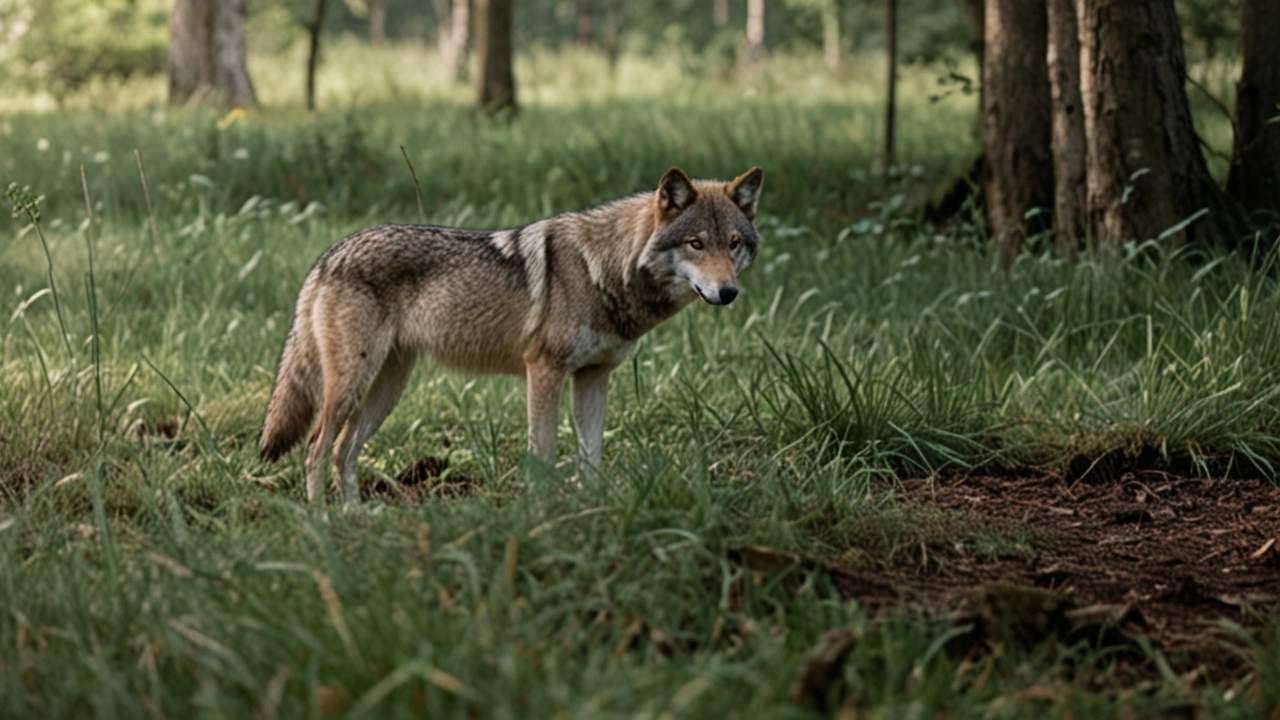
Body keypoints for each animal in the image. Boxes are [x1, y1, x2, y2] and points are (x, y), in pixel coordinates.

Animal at [258, 166, 757, 507]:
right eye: (696, 244)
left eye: (734, 243)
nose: (728, 292)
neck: (604, 272)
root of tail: (330, 253)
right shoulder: (545, 370)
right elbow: (544, 454)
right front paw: (541, 516)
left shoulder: (594, 376)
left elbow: (591, 457)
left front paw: (591, 511)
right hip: (352, 384)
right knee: (316, 447)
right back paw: (321, 524)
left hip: (386, 389)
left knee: (344, 449)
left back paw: (354, 519)